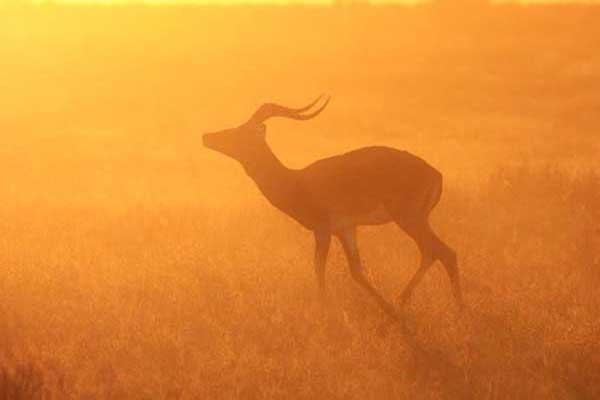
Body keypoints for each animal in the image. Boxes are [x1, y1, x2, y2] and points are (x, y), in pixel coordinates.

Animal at [204, 95, 462, 320]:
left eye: (239, 132)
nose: (206, 136)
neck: (296, 182)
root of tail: (436, 174)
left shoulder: (323, 230)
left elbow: (318, 268)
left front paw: (323, 311)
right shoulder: (346, 229)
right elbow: (356, 271)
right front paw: (385, 309)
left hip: (409, 218)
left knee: (445, 252)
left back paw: (457, 309)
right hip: (415, 220)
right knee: (430, 252)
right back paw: (402, 300)